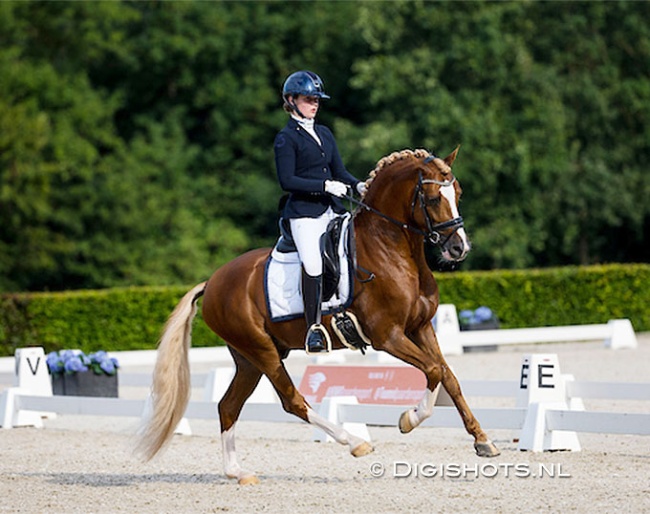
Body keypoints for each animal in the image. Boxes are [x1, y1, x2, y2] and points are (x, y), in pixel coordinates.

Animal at [137, 147, 498, 480]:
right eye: (433, 197)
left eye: (459, 193)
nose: (459, 248)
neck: (390, 249)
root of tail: (212, 282)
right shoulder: (388, 337)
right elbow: (434, 370)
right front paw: (408, 419)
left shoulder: (422, 327)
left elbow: (448, 376)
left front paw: (482, 440)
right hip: (262, 352)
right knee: (292, 401)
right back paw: (355, 442)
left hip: (249, 358)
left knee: (228, 405)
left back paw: (237, 472)